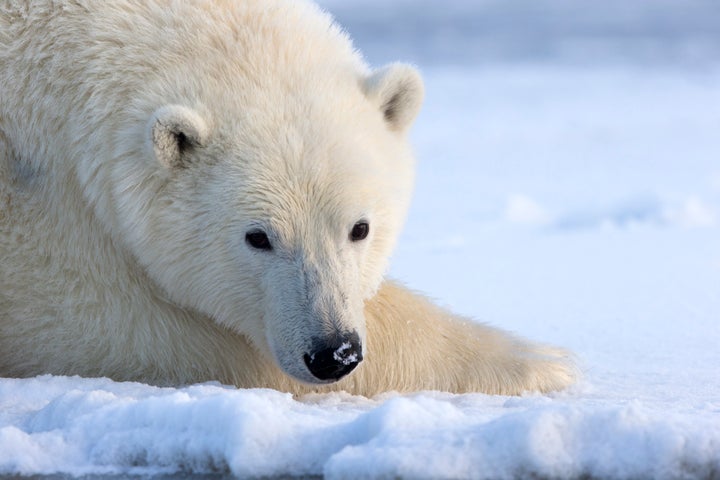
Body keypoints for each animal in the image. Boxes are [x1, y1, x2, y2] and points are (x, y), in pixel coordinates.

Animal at [0, 0, 576, 396]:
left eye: (360, 227)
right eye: (258, 237)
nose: (333, 353)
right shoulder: (42, 227)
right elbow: (145, 328)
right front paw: (540, 362)